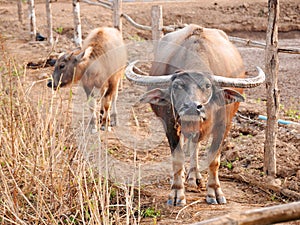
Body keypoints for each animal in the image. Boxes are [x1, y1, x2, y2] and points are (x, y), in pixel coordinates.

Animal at [124, 24, 264, 206]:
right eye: (177, 86)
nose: (192, 107)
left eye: (207, 86)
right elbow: (177, 157)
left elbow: (214, 159)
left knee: (195, 143)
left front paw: (214, 192)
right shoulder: (170, 124)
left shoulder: (224, 126)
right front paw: (177, 193)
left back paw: (194, 176)